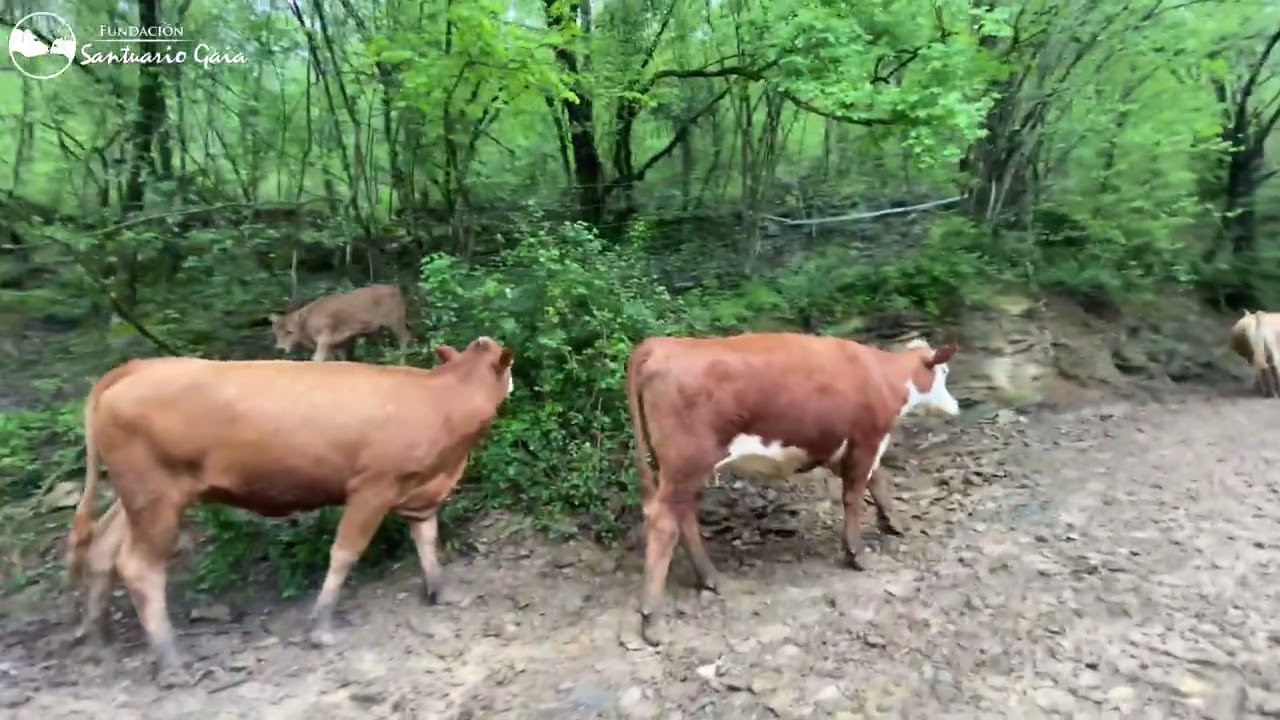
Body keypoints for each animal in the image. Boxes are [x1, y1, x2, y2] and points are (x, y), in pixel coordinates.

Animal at [66, 338, 513, 685]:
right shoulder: (372, 487)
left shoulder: (419, 491)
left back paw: (98, 642)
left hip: (139, 496)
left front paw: (440, 591)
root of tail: (136, 368)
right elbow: (345, 552)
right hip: (157, 496)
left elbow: (426, 538)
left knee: (102, 548)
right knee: (138, 567)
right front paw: (320, 626)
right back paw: (170, 663)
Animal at [268, 283, 412, 362]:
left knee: (405, 337)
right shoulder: (337, 344)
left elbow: (317, 358)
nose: (280, 349)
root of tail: (397, 290)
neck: (307, 322)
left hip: (395, 321)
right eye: (276, 333)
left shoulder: (325, 337)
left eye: (290, 331)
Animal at [625, 332, 960, 645]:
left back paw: (710, 577)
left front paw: (892, 521)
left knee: (684, 516)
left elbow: (877, 479)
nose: (956, 406)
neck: (880, 374)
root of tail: (663, 344)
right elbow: (854, 496)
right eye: (943, 372)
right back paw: (652, 618)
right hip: (685, 462)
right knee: (664, 522)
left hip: (680, 469)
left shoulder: (836, 447)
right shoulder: (866, 439)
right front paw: (857, 553)